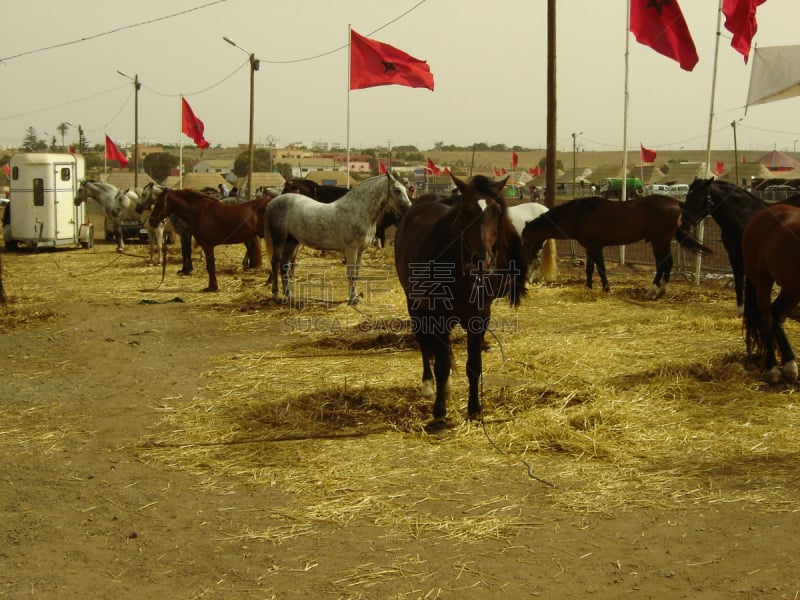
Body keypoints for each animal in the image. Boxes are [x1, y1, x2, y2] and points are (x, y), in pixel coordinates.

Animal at [266, 172, 412, 304]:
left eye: (406, 189)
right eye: (397, 190)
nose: (409, 209)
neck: (358, 210)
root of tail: (273, 202)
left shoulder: (361, 251)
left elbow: (356, 274)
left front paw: (356, 296)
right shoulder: (351, 249)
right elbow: (351, 274)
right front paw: (353, 299)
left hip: (292, 241)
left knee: (284, 264)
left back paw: (289, 295)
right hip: (280, 240)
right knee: (275, 262)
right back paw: (276, 294)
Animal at [396, 173, 532, 432]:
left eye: (497, 211)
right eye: (467, 211)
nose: (482, 260)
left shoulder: (478, 319)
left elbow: (473, 366)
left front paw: (475, 409)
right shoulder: (438, 316)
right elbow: (440, 365)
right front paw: (439, 413)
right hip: (414, 304)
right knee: (424, 343)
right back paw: (428, 385)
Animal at [520, 195, 708, 298]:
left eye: (527, 239)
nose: (526, 259)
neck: (579, 214)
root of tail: (677, 204)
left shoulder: (596, 247)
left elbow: (601, 268)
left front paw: (606, 289)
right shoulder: (589, 247)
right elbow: (589, 269)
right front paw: (588, 287)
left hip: (659, 241)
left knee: (663, 265)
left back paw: (652, 291)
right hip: (663, 242)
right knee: (667, 264)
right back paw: (661, 291)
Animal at [740, 205, 800, 384]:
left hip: (790, 286)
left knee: (777, 313)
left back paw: (789, 365)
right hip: (762, 280)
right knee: (767, 319)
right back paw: (772, 369)